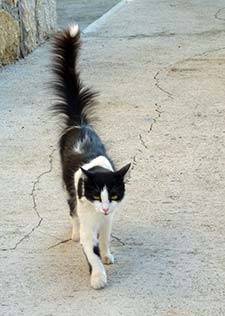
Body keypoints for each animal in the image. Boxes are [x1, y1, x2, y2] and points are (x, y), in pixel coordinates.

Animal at [51, 24, 131, 288]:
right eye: (95, 195)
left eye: (113, 195)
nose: (104, 208)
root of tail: (79, 124)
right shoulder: (89, 217)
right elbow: (90, 249)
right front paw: (97, 277)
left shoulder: (108, 219)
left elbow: (105, 239)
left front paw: (106, 255)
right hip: (68, 188)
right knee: (71, 209)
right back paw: (74, 233)